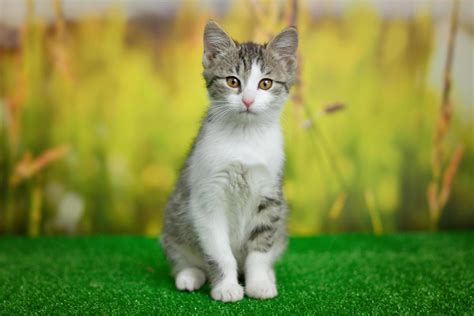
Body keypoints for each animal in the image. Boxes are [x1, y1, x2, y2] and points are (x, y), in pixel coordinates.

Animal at [161, 21, 298, 302]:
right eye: (232, 81)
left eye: (265, 83)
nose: (247, 99)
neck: (244, 138)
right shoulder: (207, 198)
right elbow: (219, 251)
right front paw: (226, 286)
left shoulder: (270, 195)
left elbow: (261, 246)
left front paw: (259, 283)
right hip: (174, 221)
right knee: (182, 257)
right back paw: (189, 275)